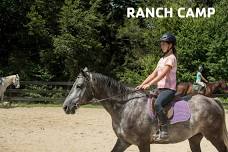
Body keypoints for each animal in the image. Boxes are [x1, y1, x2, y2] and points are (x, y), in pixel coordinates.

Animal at [62, 68, 228, 151]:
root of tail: (213, 101)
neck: (125, 107)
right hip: (194, 138)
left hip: (214, 136)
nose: (66, 107)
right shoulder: (123, 141)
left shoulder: (143, 143)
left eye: (79, 86)